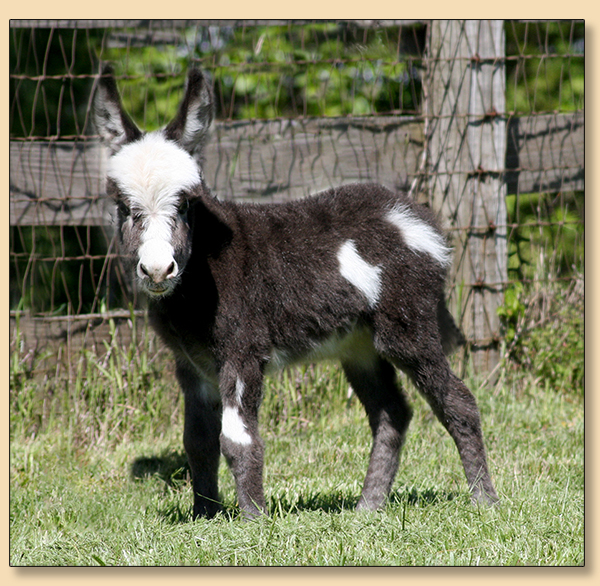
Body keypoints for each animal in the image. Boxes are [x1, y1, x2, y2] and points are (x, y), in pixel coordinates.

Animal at [94, 66, 496, 516]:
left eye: (184, 204)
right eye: (123, 207)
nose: (158, 269)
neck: (202, 271)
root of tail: (416, 217)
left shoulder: (243, 351)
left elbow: (238, 441)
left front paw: (253, 520)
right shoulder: (191, 365)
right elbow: (197, 443)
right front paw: (204, 516)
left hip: (406, 328)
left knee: (458, 402)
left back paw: (484, 501)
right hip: (359, 346)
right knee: (392, 413)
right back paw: (369, 508)